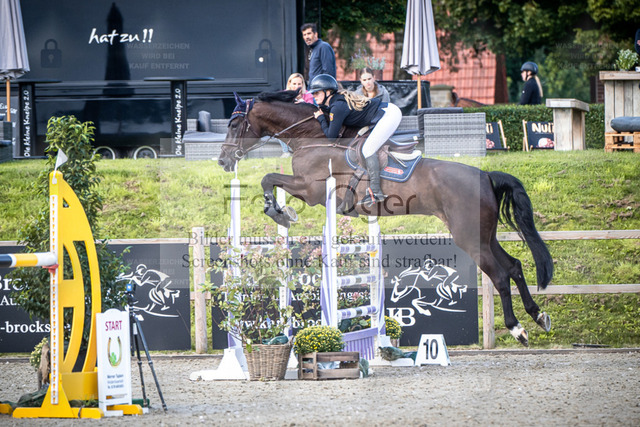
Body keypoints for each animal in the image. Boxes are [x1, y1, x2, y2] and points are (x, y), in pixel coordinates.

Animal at [218, 90, 553, 346]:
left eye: (234, 123)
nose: (222, 160)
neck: (310, 138)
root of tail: (485, 175)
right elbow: (270, 179)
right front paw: (281, 212)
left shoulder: (311, 189)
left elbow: (268, 178)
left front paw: (280, 212)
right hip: (485, 235)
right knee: (514, 266)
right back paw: (538, 316)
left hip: (470, 238)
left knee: (500, 275)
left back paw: (518, 329)